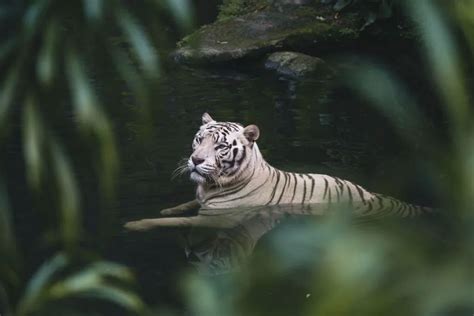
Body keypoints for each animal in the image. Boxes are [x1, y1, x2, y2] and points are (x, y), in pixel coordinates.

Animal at [124, 112, 432, 231]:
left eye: (220, 146)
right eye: (199, 139)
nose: (196, 160)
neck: (211, 185)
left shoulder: (214, 220)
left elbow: (172, 222)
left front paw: (135, 224)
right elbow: (183, 205)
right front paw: (167, 208)